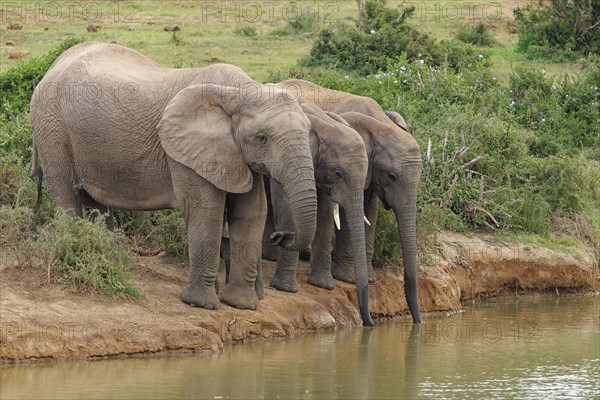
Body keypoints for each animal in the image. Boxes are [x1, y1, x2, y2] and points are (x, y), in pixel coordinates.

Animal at [29, 44, 318, 312]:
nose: (280, 236)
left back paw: (108, 259)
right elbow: (206, 211)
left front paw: (241, 305)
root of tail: (51, 67)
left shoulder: (240, 157)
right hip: (51, 127)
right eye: (261, 138)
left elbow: (251, 214)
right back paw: (77, 252)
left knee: (94, 202)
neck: (240, 91)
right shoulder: (185, 153)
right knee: (67, 193)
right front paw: (201, 304)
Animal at [278, 79, 424, 324]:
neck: (381, 125)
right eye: (392, 176)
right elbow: (349, 213)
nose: (418, 321)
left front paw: (369, 279)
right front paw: (348, 278)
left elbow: (370, 211)